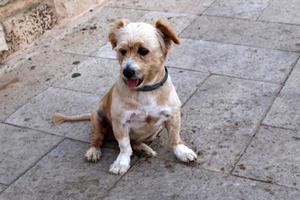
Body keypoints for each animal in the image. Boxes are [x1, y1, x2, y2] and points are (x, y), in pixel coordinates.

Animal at [51, 19, 197, 175]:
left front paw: (182, 151)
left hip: (155, 130)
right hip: (97, 118)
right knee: (98, 138)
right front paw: (121, 163)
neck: (145, 90)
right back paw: (94, 150)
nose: (126, 72)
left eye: (143, 51)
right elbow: (125, 146)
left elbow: (175, 137)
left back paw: (144, 149)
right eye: (122, 51)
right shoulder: (120, 123)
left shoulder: (173, 116)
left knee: (136, 142)